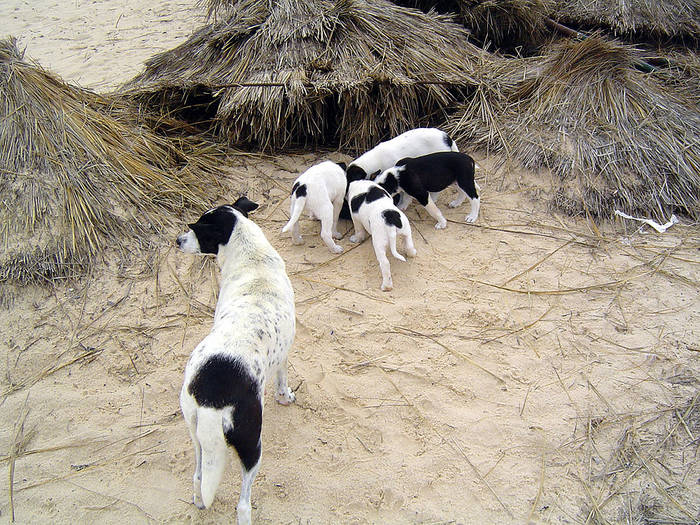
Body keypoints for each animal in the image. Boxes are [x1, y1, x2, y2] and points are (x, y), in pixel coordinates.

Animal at [176, 196, 296, 524]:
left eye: (197, 231)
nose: (177, 240)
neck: (252, 259)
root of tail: (210, 398)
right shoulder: (284, 355)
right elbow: (283, 381)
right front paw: (286, 397)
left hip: (194, 432)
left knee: (198, 476)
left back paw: (198, 501)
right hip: (252, 442)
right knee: (243, 503)